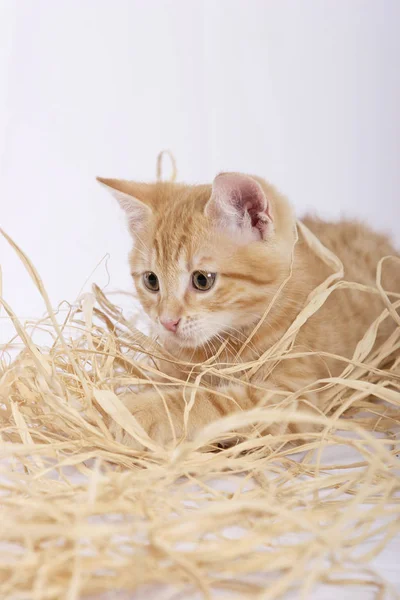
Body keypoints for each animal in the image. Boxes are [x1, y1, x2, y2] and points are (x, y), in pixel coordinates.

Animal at [97, 171, 400, 448]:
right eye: (151, 281)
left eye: (202, 280)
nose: (167, 321)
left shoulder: (293, 399)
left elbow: (218, 401)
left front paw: (138, 412)